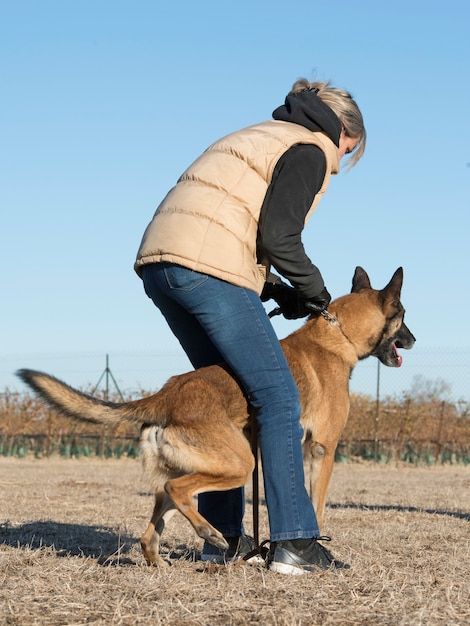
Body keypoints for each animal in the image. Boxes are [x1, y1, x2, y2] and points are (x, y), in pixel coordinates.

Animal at [17, 264, 414, 564]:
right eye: (404, 316)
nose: (413, 341)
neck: (336, 337)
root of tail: (167, 395)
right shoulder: (322, 450)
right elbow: (315, 505)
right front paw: (312, 549)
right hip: (239, 464)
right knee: (176, 490)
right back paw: (211, 534)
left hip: (198, 465)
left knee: (155, 514)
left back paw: (163, 559)